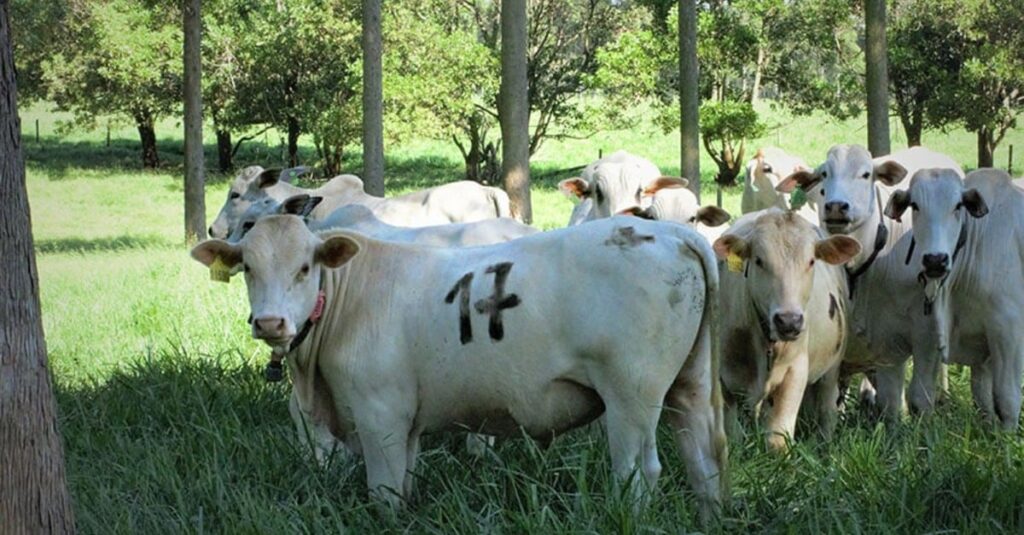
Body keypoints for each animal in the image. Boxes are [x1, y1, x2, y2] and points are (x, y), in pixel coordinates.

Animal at [190, 213, 729, 516]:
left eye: (305, 267)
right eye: (248, 269)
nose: (270, 322)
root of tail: (669, 231)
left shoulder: (380, 415)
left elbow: (385, 494)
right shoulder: (405, 423)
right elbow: (405, 486)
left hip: (631, 396)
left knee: (639, 473)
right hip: (689, 386)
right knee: (704, 465)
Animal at [716, 208, 860, 444]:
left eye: (811, 261)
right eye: (759, 260)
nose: (789, 321)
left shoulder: (795, 371)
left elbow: (777, 437)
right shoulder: (722, 378)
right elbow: (731, 433)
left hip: (832, 366)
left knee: (827, 408)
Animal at [884, 169, 1019, 426]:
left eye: (958, 206)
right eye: (914, 205)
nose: (935, 260)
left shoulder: (1008, 329)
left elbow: (1006, 399)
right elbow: (983, 398)